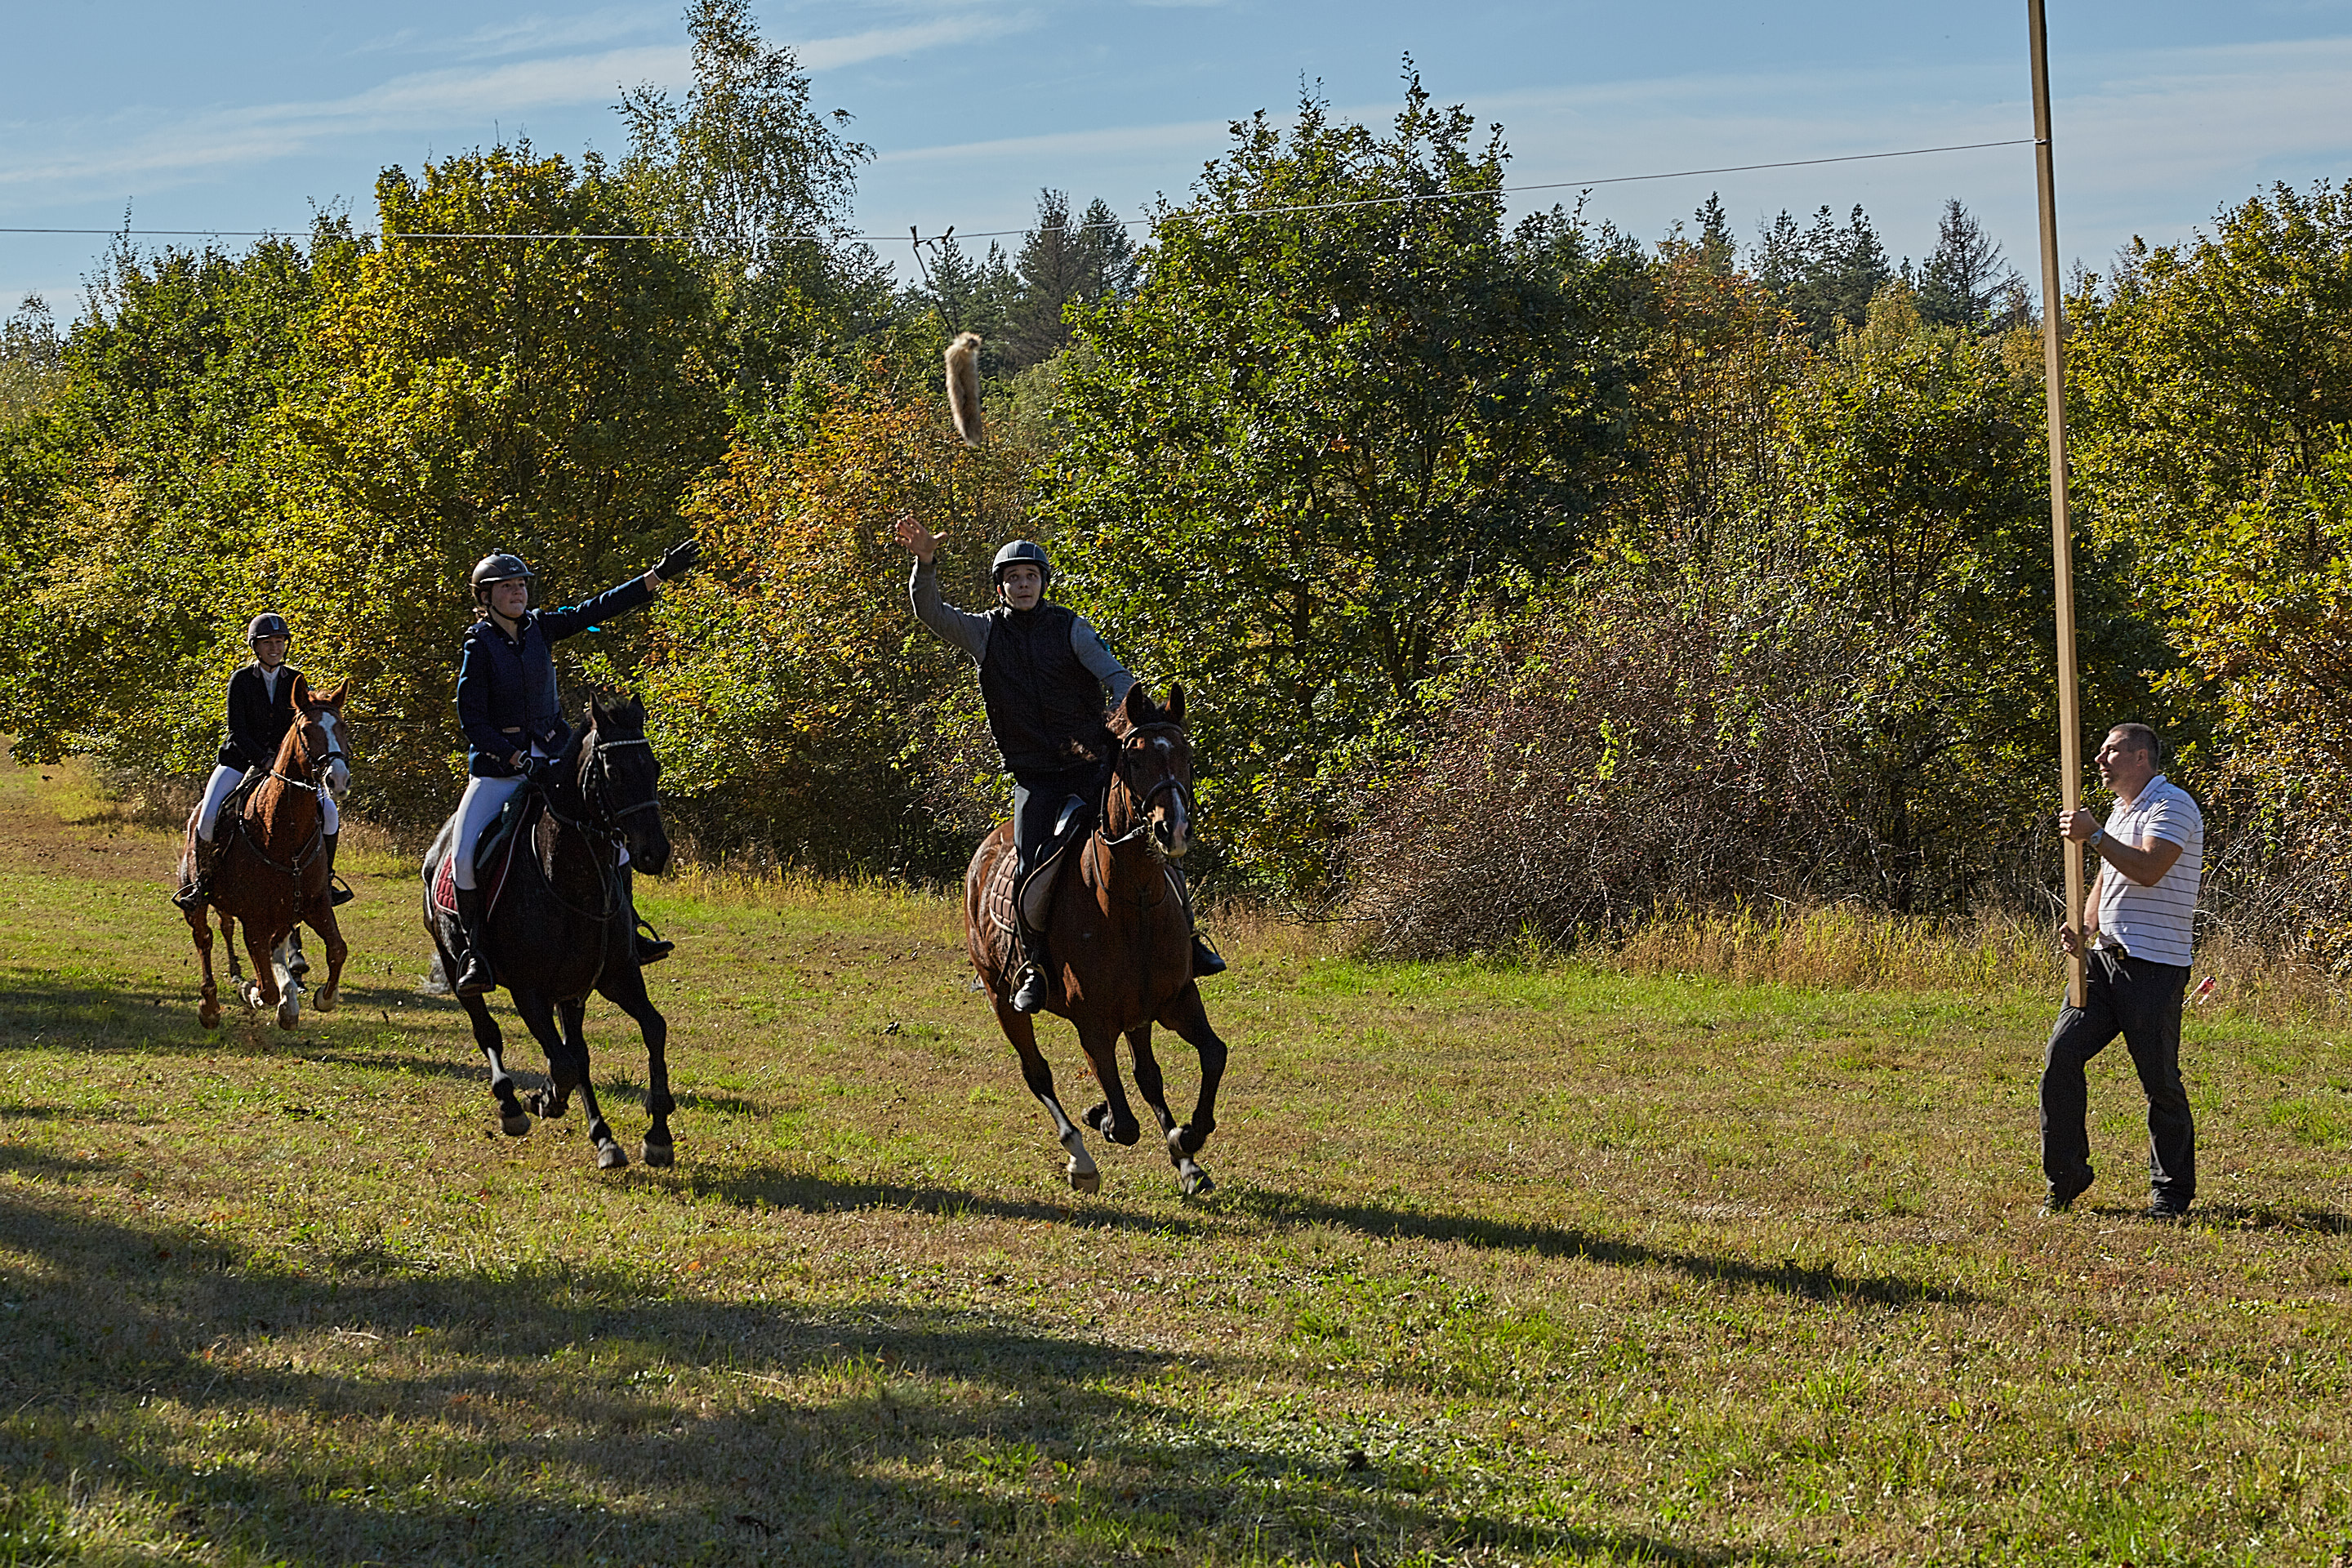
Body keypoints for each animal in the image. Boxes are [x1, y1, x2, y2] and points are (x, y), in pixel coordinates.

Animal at [178, 677, 350, 1029]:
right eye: (306, 730)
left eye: (342, 726)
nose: (338, 780)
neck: (285, 832)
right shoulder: (254, 918)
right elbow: (265, 986)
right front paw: (251, 991)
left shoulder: (315, 903)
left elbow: (337, 950)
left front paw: (323, 998)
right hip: (197, 898)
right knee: (204, 938)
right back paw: (211, 1005)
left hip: (285, 912)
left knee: (274, 946)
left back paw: (288, 1000)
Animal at [423, 691, 677, 1170]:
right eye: (613, 773)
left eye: (653, 767)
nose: (654, 853)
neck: (571, 878)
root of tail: (439, 847)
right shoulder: (529, 992)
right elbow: (562, 1065)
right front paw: (545, 1098)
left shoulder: (616, 977)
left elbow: (652, 1030)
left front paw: (657, 1133)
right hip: (455, 964)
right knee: (489, 1032)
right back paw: (511, 1106)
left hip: (574, 990)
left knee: (577, 1049)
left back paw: (603, 1137)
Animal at [969, 681, 1241, 1194]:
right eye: (1133, 760)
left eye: (1186, 755)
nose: (1173, 829)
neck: (1134, 901)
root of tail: (985, 853)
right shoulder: (1094, 1025)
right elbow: (1123, 1118)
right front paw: (1106, 1119)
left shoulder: (1177, 999)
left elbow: (1213, 1055)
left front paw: (1188, 1138)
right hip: (1001, 996)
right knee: (1038, 1074)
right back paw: (1081, 1156)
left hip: (1139, 1015)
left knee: (1148, 1075)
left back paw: (1186, 1165)